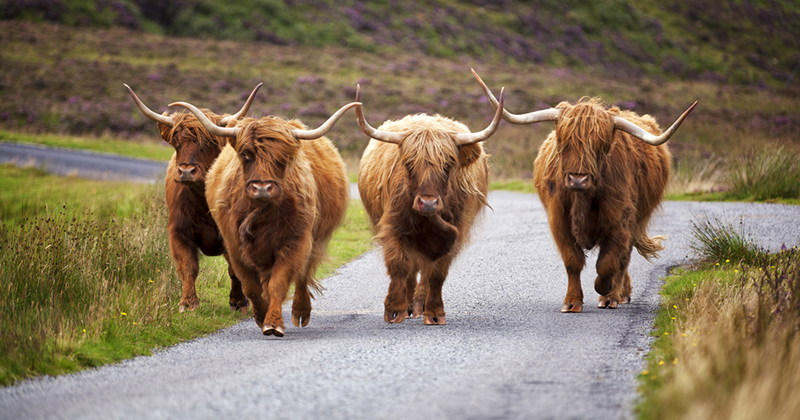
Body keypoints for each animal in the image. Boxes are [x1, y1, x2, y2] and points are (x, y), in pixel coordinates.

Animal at [172, 99, 356, 338]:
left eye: (282, 158)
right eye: (245, 155)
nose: (262, 188)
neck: (262, 212)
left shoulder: (294, 242)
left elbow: (279, 282)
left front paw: (273, 322)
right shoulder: (234, 246)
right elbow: (250, 286)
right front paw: (261, 316)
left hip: (313, 240)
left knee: (302, 275)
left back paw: (300, 311)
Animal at [472, 69, 696, 312]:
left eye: (601, 145)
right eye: (564, 141)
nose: (578, 178)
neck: (582, 199)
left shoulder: (620, 220)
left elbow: (608, 263)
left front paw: (605, 291)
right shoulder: (559, 220)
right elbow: (573, 261)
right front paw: (572, 302)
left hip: (638, 217)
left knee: (623, 258)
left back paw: (617, 295)